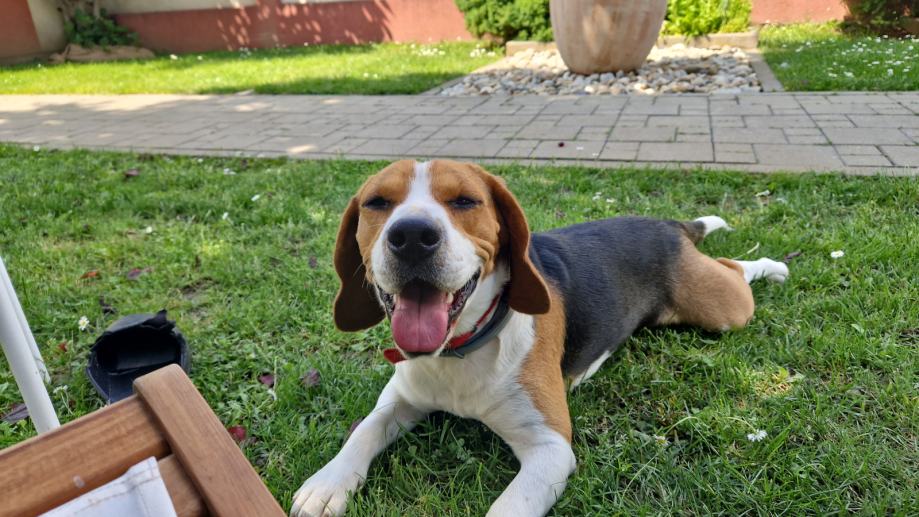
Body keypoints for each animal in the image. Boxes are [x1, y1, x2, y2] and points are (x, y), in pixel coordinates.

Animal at [290, 160, 789, 517]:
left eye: (465, 201)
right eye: (377, 203)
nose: (412, 235)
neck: (460, 352)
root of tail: (668, 224)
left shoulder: (550, 449)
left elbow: (507, 509)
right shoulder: (399, 398)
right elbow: (364, 431)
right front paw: (327, 484)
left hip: (722, 309)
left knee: (733, 267)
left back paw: (772, 266)